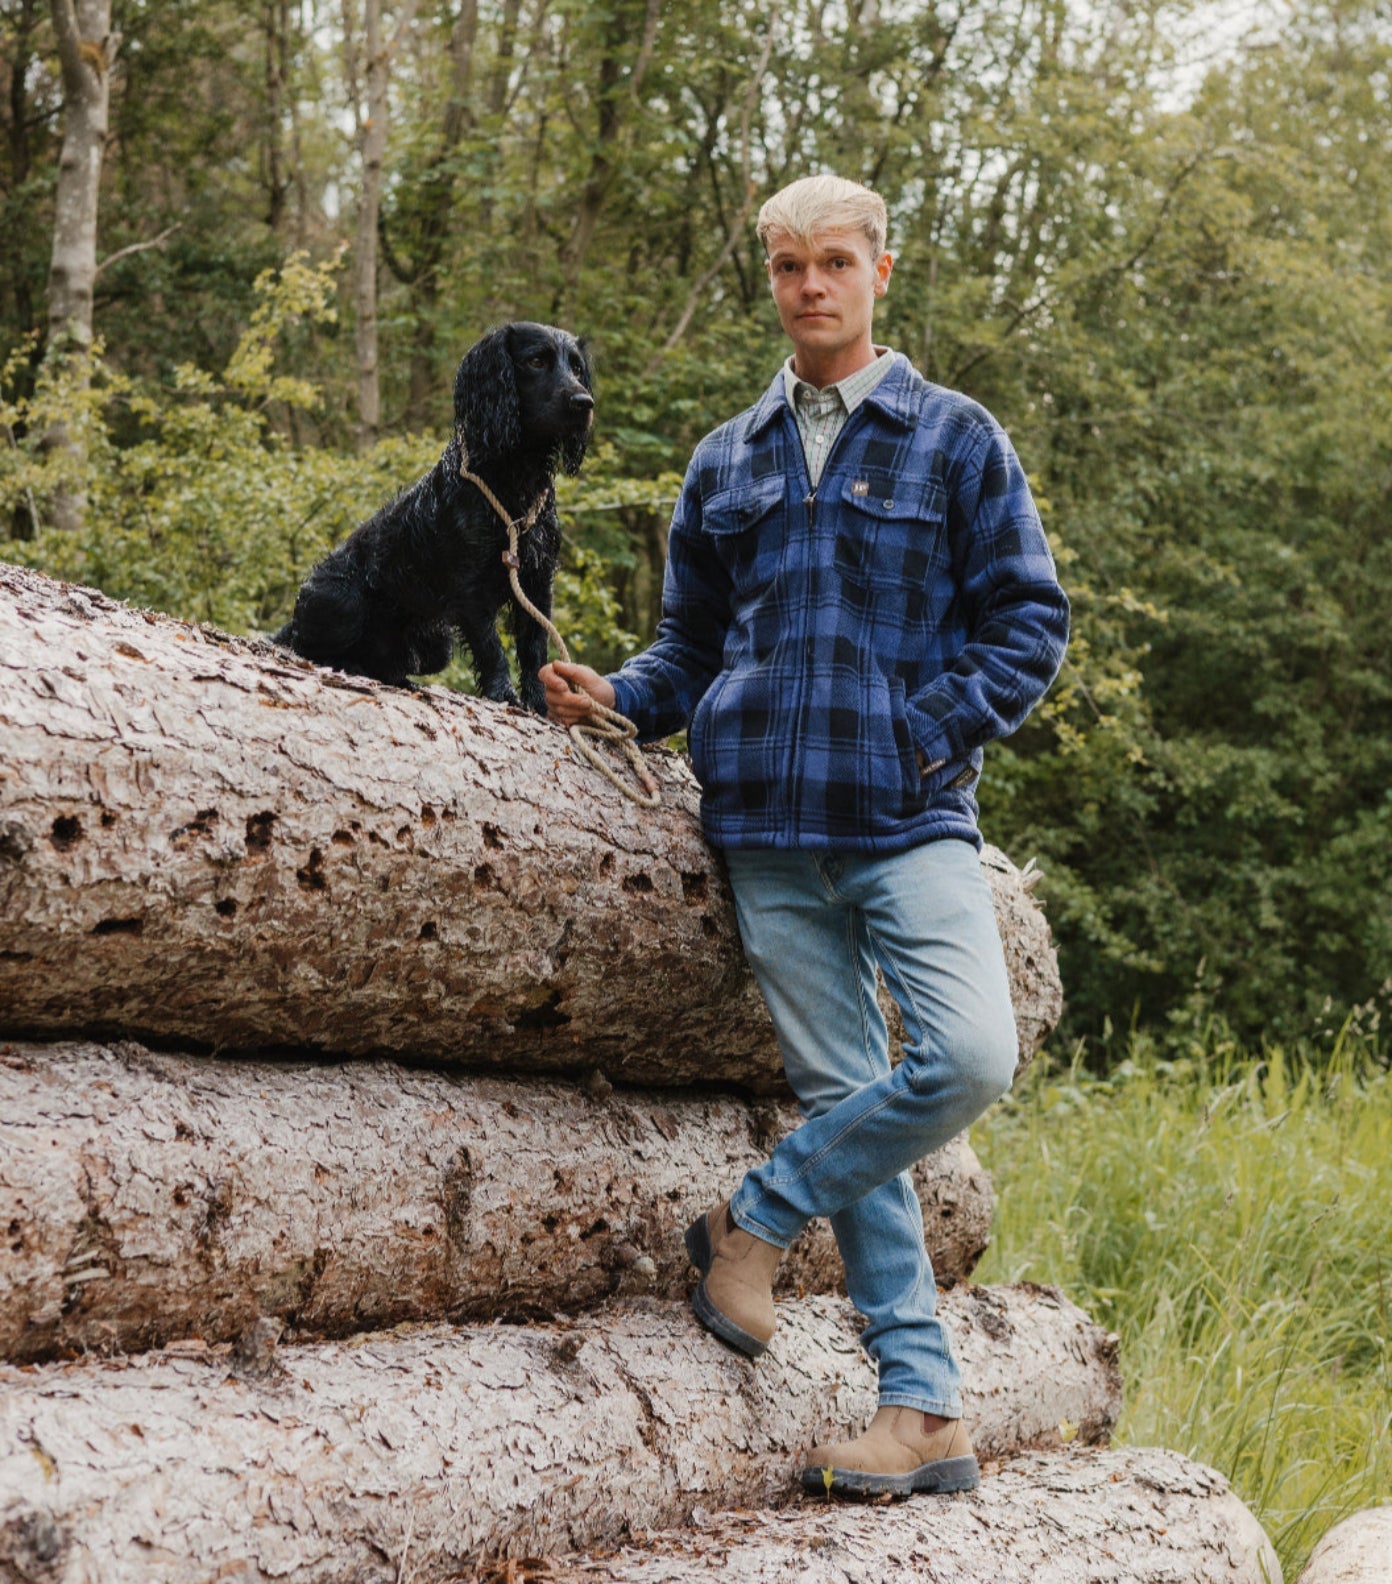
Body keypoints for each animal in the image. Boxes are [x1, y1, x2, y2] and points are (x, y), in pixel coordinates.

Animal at [275, 318, 592, 709]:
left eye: (576, 367)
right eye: (536, 361)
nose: (585, 403)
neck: (514, 481)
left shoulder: (536, 579)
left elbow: (534, 646)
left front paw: (539, 703)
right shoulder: (471, 586)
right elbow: (491, 646)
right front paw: (504, 694)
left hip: (438, 643)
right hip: (343, 604)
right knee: (308, 648)